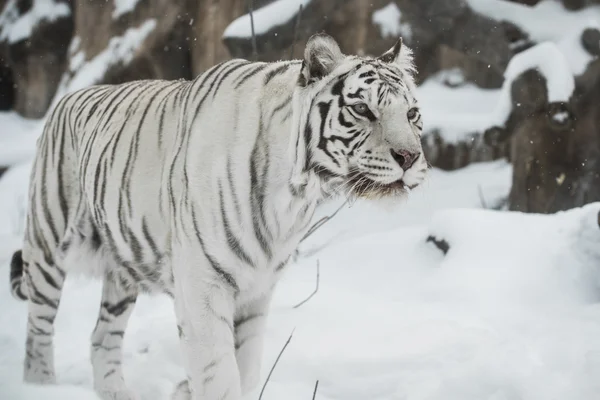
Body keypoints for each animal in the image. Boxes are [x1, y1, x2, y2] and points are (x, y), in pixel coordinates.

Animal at [7, 32, 424, 398]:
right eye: (362, 109)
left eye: (413, 113)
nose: (410, 157)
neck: (295, 194)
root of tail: (68, 97)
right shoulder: (202, 284)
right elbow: (219, 374)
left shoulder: (258, 286)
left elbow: (247, 368)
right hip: (48, 243)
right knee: (37, 331)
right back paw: (41, 388)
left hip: (122, 269)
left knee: (101, 336)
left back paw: (115, 393)